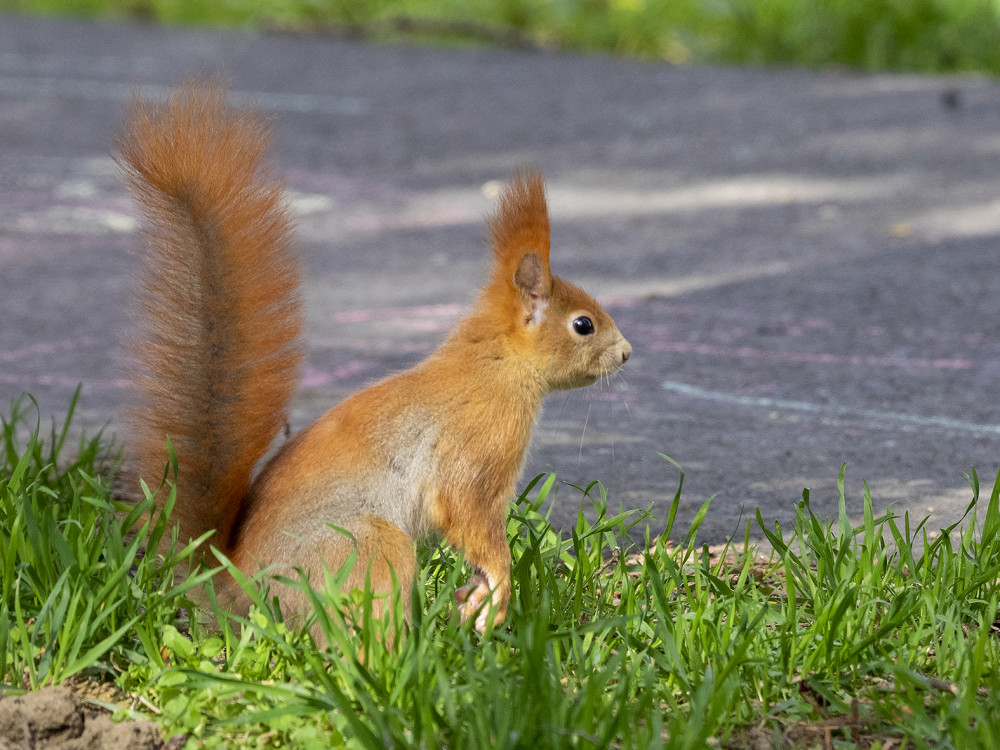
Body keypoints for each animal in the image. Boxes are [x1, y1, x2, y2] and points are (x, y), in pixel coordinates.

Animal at [117, 83, 628, 636]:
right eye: (584, 325)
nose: (626, 353)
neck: (496, 365)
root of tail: (236, 587)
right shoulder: (477, 448)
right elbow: (468, 516)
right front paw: (497, 588)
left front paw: (477, 595)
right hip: (367, 549)